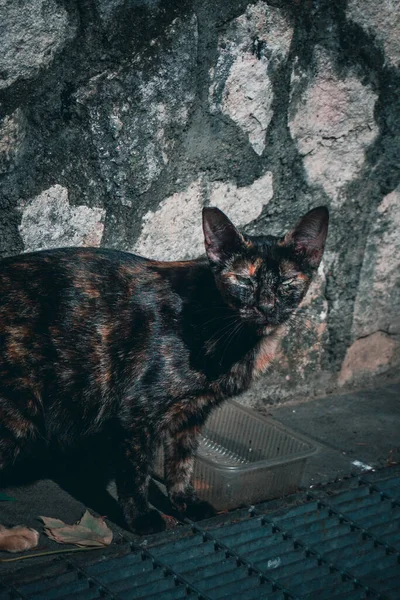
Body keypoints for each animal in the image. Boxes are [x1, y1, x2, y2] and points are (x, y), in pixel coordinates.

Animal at [0, 206, 328, 536]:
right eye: (243, 281)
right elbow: (136, 473)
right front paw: (141, 518)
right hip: (17, 416)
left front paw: (186, 503)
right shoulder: (136, 412)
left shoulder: (194, 413)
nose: (266, 307)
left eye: (287, 282)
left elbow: (182, 462)